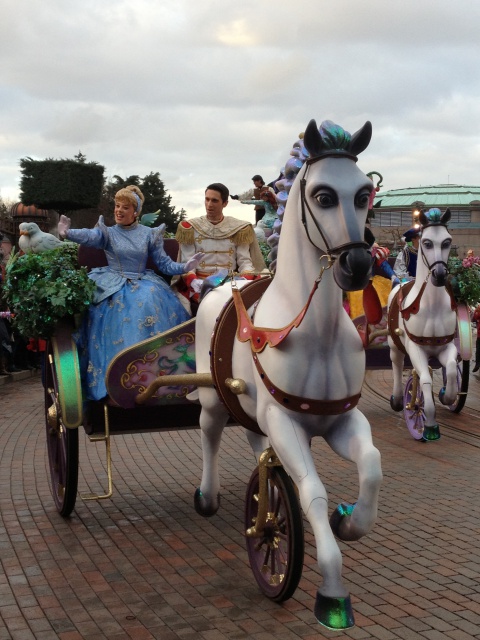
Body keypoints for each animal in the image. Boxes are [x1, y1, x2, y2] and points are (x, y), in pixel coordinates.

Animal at [191, 117, 382, 628]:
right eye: (322, 195)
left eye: (364, 193)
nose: (358, 264)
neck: (315, 335)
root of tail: (223, 284)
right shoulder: (287, 422)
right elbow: (312, 491)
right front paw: (331, 592)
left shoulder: (340, 420)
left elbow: (372, 468)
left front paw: (348, 521)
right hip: (214, 398)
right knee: (210, 433)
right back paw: (207, 497)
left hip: (256, 413)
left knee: (256, 443)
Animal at [386, 210, 458, 440]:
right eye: (426, 243)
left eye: (447, 241)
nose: (440, 275)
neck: (431, 306)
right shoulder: (415, 348)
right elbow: (425, 380)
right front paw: (429, 423)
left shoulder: (447, 346)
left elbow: (450, 370)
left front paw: (446, 396)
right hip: (394, 344)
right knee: (397, 364)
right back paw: (399, 400)